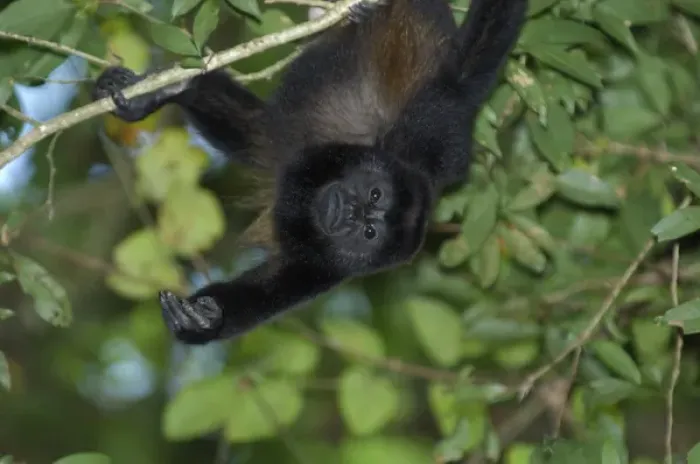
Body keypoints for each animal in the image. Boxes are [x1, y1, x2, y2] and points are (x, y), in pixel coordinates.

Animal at [92, 0, 528, 344]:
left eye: (370, 232)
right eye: (375, 195)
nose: (353, 211)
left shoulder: (329, 269)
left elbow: (269, 289)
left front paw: (204, 320)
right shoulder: (429, 126)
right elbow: (469, 67)